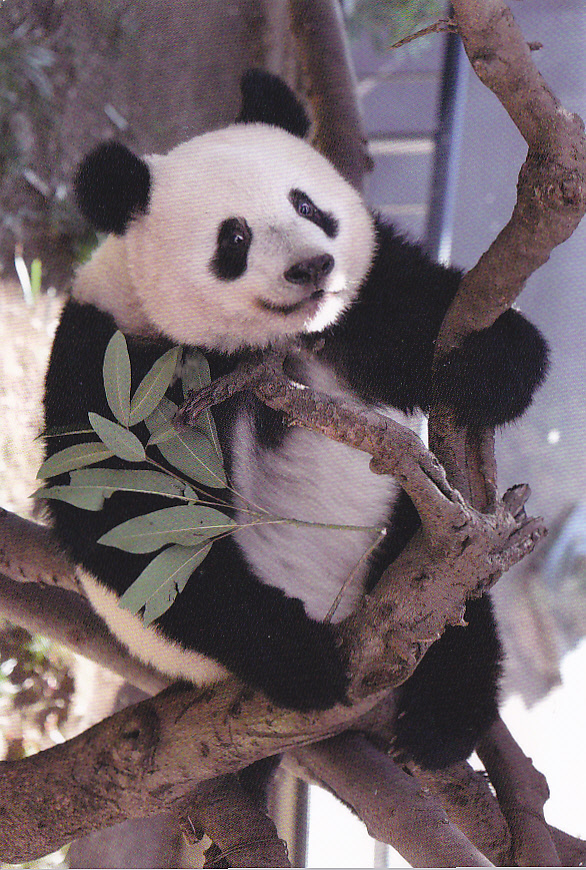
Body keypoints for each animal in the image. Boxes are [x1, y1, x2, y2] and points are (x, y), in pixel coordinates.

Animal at [43, 70, 548, 770]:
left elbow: (419, 314)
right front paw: (299, 662)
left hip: (406, 532)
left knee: (451, 605)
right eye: (234, 238)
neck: (267, 345)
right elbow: (127, 517)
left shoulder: (361, 304)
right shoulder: (113, 362)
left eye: (307, 206)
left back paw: (441, 721)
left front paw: (486, 364)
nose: (311, 266)